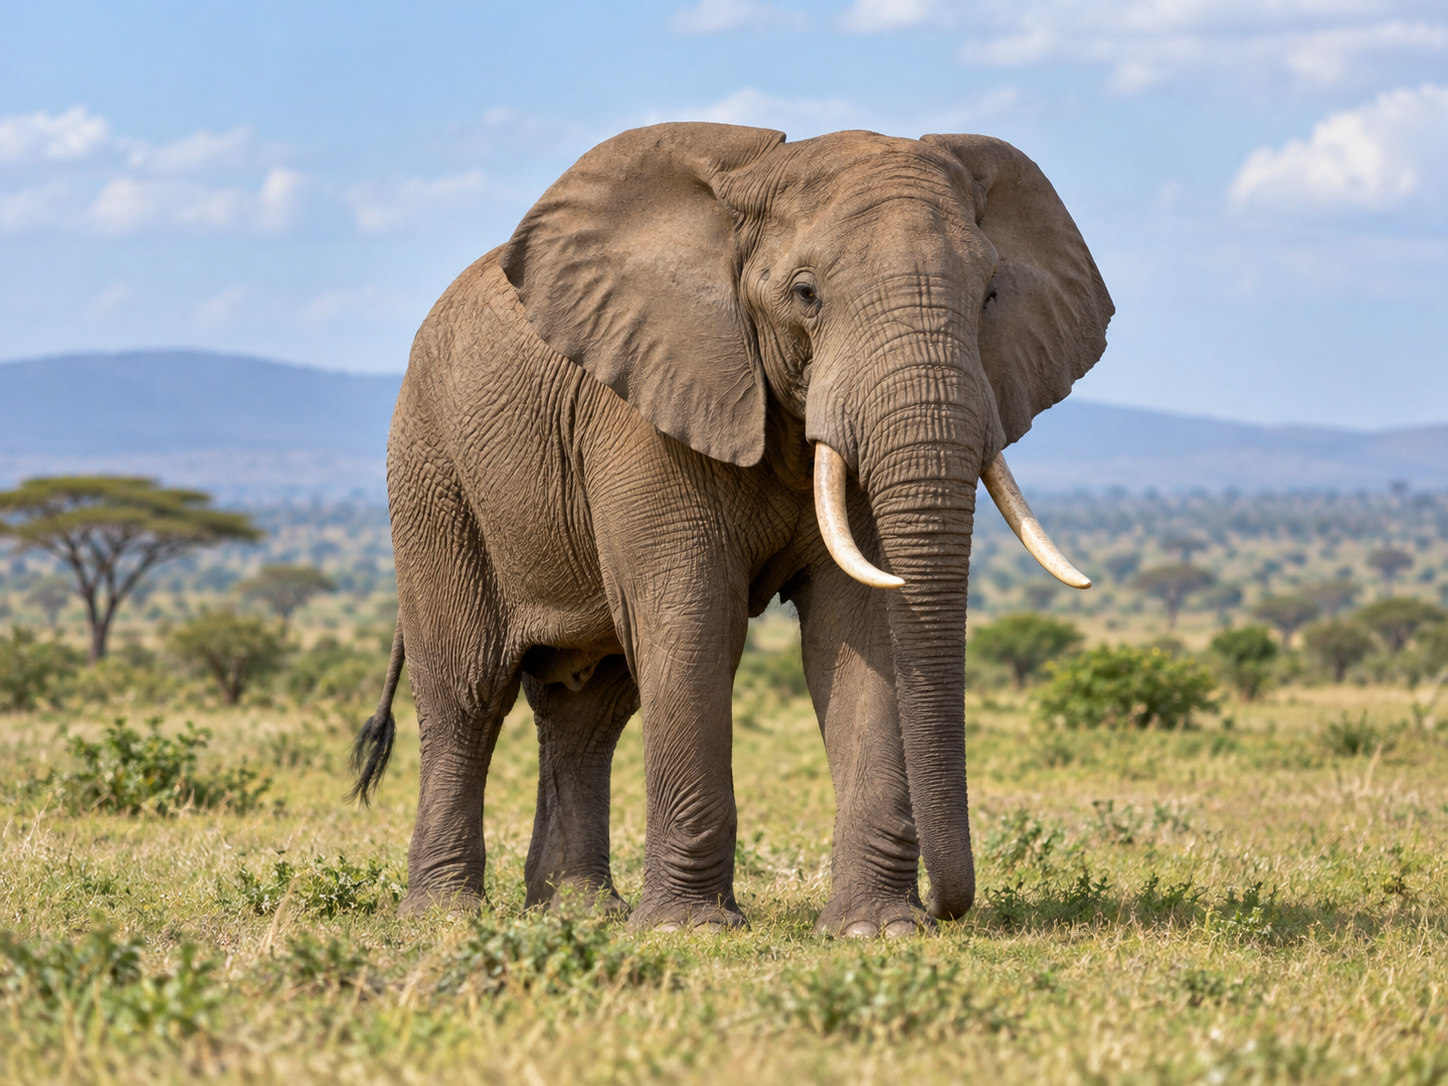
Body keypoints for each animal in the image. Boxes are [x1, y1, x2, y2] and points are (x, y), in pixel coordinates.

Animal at [351, 121, 1112, 935]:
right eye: (806, 293)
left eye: (991, 294)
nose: (948, 909)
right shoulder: (645, 406)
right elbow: (693, 619)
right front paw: (686, 930)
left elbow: (863, 624)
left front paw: (875, 930)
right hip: (432, 470)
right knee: (467, 693)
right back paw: (445, 917)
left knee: (588, 711)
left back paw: (581, 912)